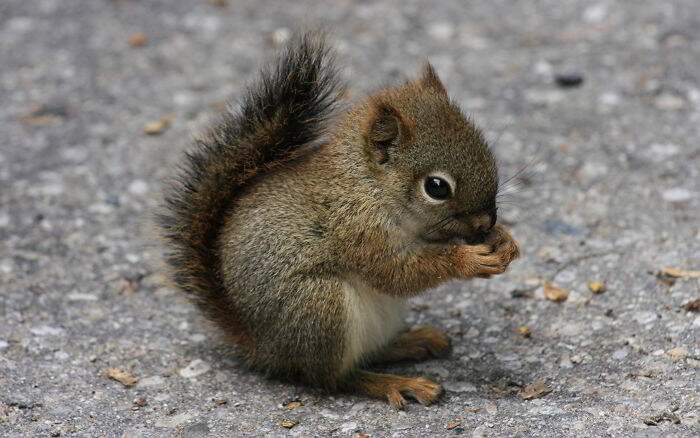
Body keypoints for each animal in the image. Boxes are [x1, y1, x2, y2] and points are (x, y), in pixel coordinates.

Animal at [159, 32, 520, 408]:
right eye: (436, 187)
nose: (485, 222)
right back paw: (393, 383)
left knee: (369, 354)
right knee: (333, 378)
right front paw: (467, 259)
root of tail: (263, 347)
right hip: (320, 307)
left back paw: (411, 342)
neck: (368, 185)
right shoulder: (356, 229)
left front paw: (504, 241)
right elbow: (396, 272)